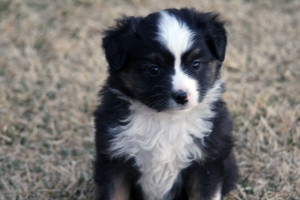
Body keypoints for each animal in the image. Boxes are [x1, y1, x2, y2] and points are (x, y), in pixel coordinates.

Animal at [94, 7, 239, 200]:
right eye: (153, 69)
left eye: (195, 64)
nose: (181, 96)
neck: (166, 120)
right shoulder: (114, 160)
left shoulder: (206, 163)